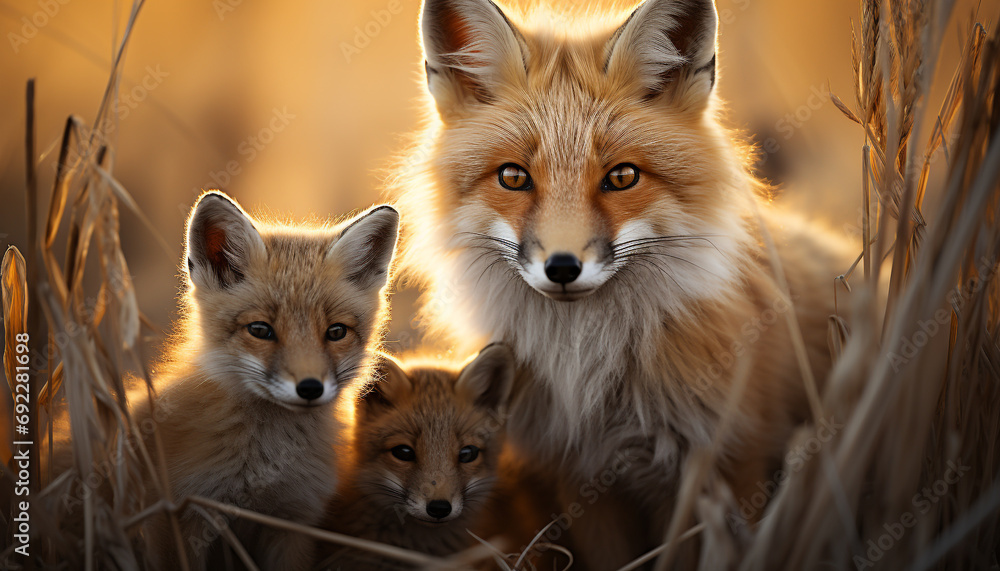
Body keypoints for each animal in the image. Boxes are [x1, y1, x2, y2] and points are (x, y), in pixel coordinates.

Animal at [132, 191, 399, 570]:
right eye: (260, 330)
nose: (310, 388)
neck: (263, 465)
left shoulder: (293, 522)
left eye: (336, 332)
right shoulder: (181, 514)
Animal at [392, 0, 857, 567]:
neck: (592, 376)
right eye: (513, 177)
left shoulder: (723, 464)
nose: (562, 267)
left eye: (622, 177)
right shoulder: (584, 478)